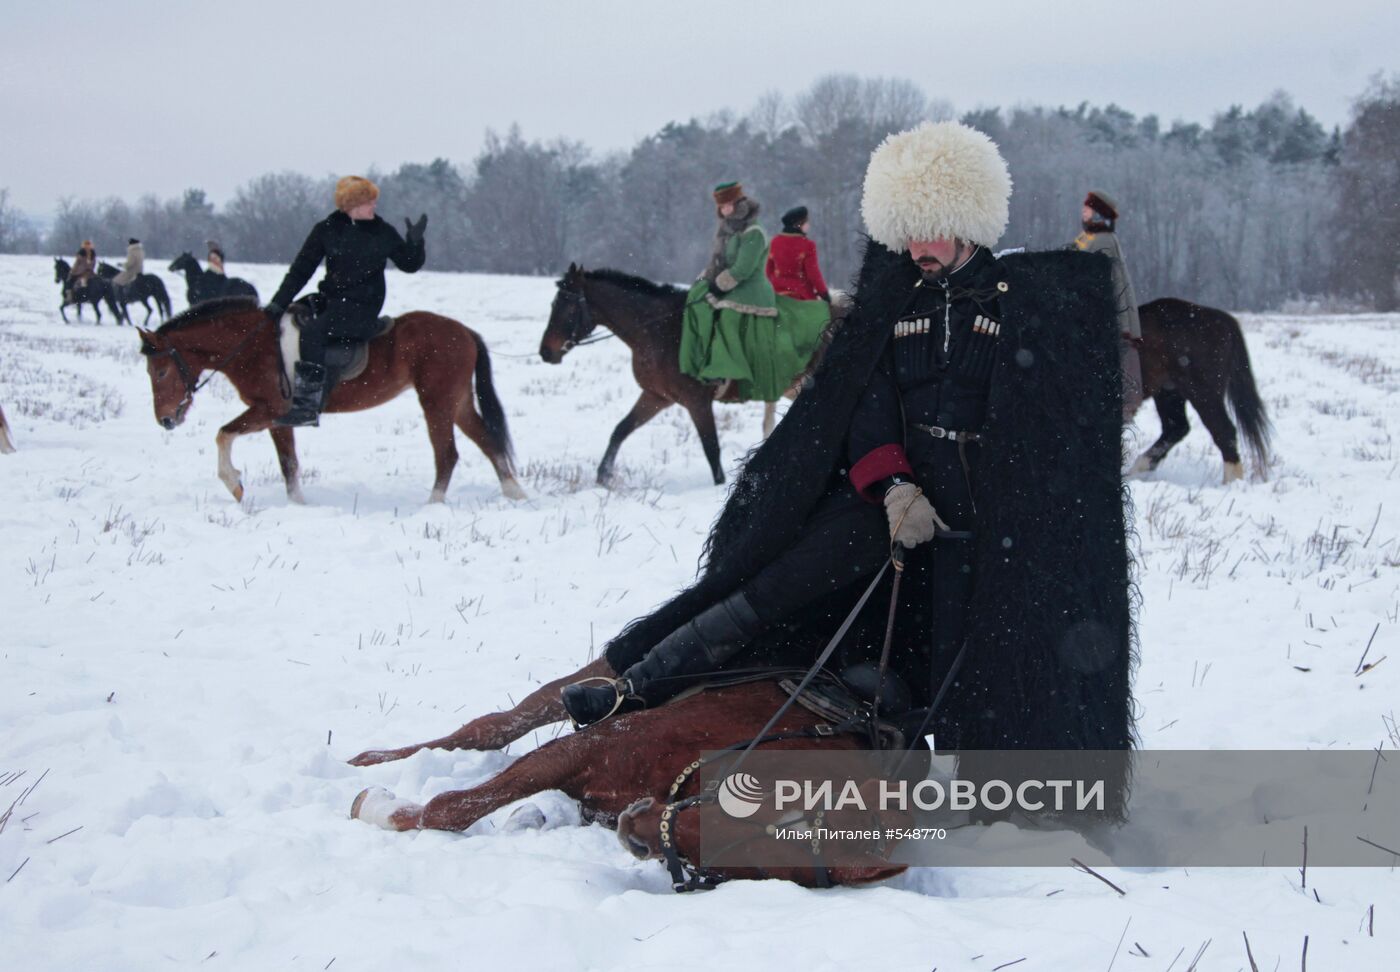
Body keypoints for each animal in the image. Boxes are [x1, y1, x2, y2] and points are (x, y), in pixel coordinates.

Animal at [137, 298, 526, 507]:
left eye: (160, 371)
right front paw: (297, 505)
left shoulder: (268, 411)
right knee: (488, 441)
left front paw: (233, 483)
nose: (166, 420)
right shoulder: (280, 420)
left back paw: (432, 506)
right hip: (456, 402)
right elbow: (289, 464)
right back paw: (515, 494)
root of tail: (465, 332)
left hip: (437, 403)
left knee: (447, 454)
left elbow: (223, 434)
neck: (254, 346)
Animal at [344, 680, 901, 896]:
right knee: (494, 725)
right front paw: (377, 805)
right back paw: (371, 760)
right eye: (759, 805)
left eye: (757, 868)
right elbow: (451, 807)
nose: (635, 832)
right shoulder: (589, 746)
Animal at [540, 264, 789, 487]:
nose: (545, 352)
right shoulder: (657, 396)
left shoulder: (697, 402)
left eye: (569, 308)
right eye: (553, 304)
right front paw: (604, 476)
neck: (660, 329)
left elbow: (711, 449)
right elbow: (620, 430)